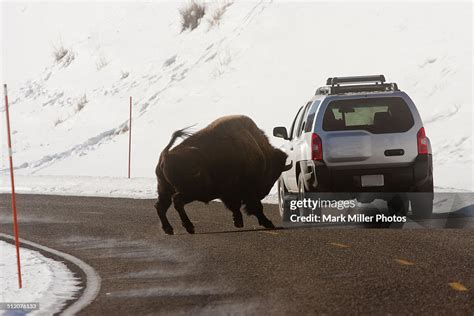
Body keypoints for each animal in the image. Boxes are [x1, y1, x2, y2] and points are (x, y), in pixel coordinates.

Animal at [154, 115, 290, 233]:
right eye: (273, 173)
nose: (264, 193)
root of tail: (166, 154)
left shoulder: (228, 193)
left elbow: (235, 207)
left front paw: (238, 222)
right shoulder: (247, 191)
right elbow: (255, 207)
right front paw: (268, 223)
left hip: (165, 190)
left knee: (160, 206)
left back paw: (169, 229)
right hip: (190, 191)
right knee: (176, 202)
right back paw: (189, 227)